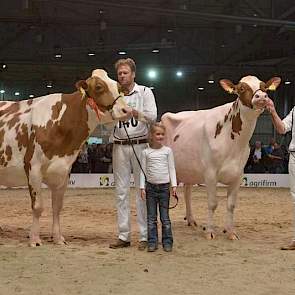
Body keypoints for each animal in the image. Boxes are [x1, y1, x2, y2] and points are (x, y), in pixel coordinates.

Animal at [0, 70, 129, 247]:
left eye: (118, 86)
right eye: (98, 87)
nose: (126, 110)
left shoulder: (64, 172)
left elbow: (57, 207)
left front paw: (58, 238)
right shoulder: (33, 168)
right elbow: (38, 206)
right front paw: (35, 239)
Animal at [162, 75, 282, 240]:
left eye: (264, 87)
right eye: (241, 88)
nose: (262, 97)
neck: (234, 142)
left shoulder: (238, 174)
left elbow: (231, 205)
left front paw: (231, 232)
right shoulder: (210, 173)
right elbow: (213, 203)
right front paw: (210, 231)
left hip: (189, 169)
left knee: (187, 192)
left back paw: (191, 220)